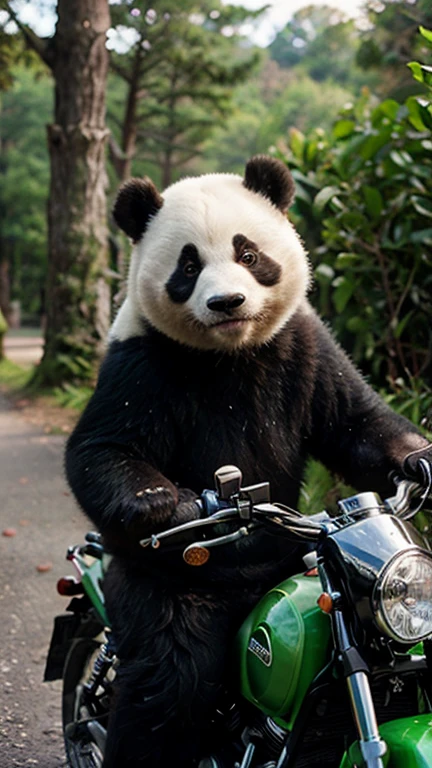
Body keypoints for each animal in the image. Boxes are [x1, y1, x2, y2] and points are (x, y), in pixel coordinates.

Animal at [65, 155, 432, 768]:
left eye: (249, 255)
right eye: (188, 266)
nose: (227, 304)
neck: (230, 354)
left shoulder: (303, 343)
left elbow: (355, 423)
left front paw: (419, 460)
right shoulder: (139, 359)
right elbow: (102, 449)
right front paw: (160, 504)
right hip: (139, 600)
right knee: (146, 681)